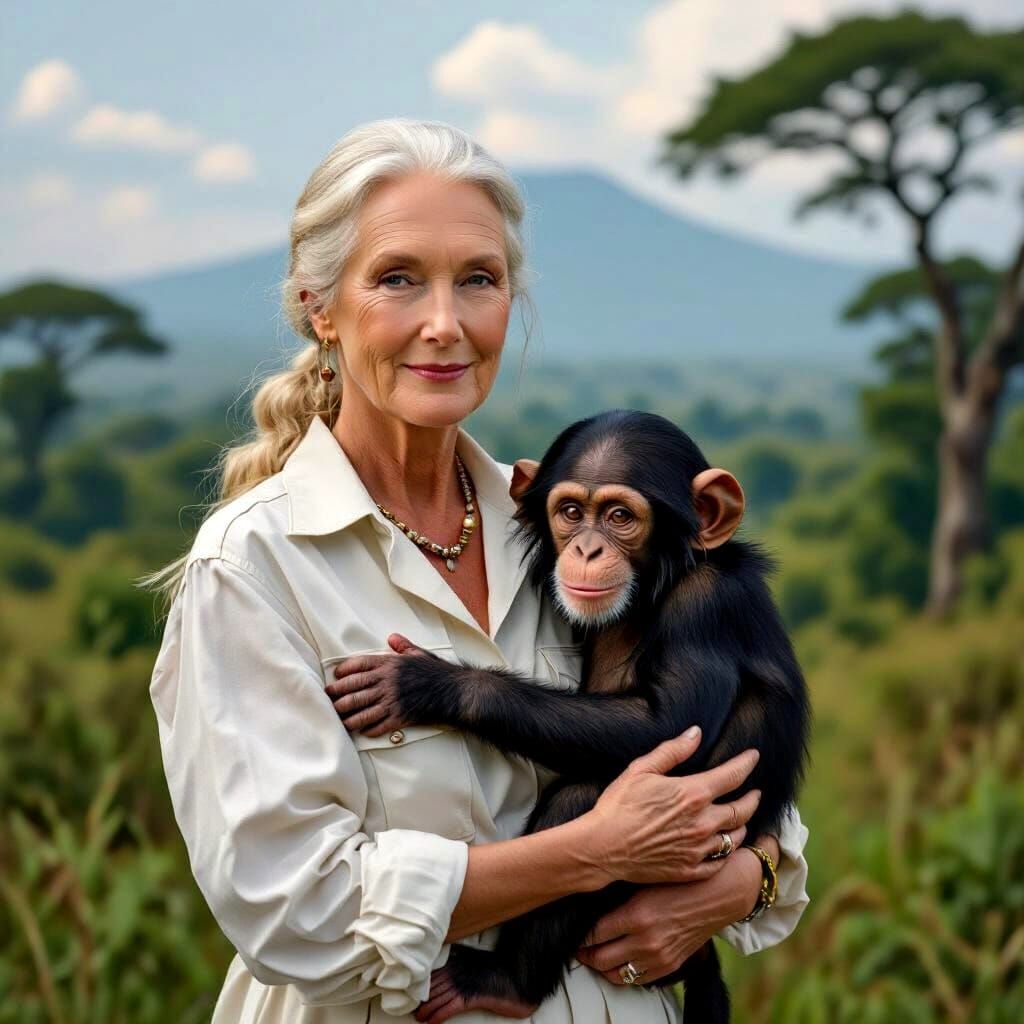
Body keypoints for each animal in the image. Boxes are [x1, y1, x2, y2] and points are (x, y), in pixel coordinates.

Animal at [326, 409, 810, 1024]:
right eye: (572, 512)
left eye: (621, 516)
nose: (586, 549)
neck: (659, 582)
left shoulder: (705, 605)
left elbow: (668, 723)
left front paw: (429, 685)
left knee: (580, 801)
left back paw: (507, 981)